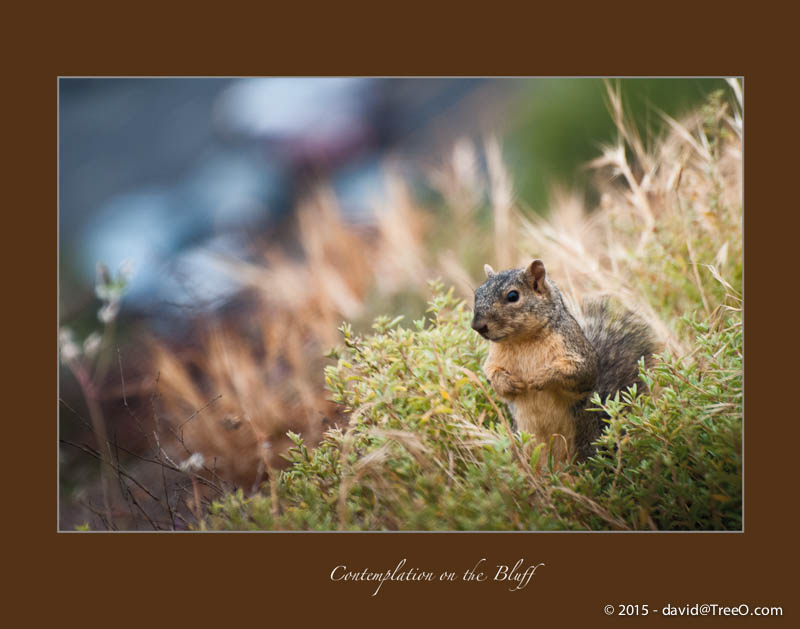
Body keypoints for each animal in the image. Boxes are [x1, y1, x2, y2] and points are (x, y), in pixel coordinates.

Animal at [472, 258, 652, 464]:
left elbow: (581, 372)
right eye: (477, 294)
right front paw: (508, 383)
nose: (477, 326)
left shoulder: (575, 349)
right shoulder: (494, 359)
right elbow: (492, 375)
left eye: (512, 296)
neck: (523, 340)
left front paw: (541, 376)